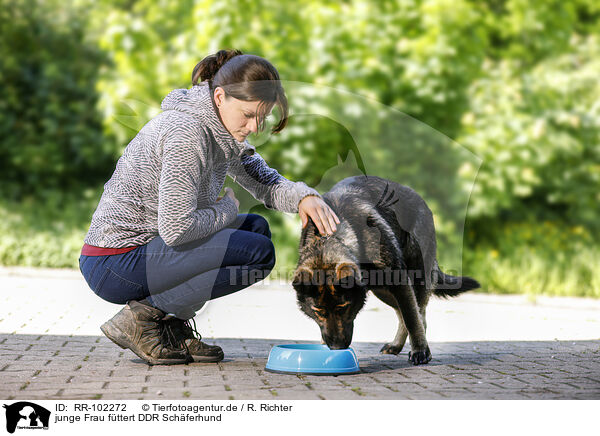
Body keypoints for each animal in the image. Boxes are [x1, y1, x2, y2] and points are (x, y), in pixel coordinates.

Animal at [292, 176, 480, 364]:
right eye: (318, 312)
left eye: (343, 307)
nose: (337, 347)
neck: (332, 237)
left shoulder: (400, 281)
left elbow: (412, 319)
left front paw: (420, 350)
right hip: (383, 292)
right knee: (403, 314)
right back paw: (396, 345)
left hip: (415, 280)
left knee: (418, 315)